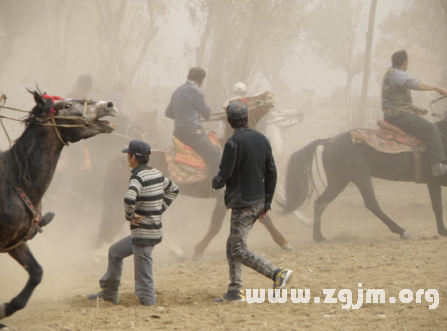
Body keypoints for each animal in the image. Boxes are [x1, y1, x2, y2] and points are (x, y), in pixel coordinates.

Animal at [0, 89, 117, 330]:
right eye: (66, 106)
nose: (109, 105)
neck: (14, 182)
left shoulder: (15, 242)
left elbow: (37, 273)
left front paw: (6, 308)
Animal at [280, 115, 447, 243]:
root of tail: (330, 140)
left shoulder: (433, 182)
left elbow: (437, 206)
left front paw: (443, 231)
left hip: (339, 180)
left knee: (321, 203)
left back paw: (319, 237)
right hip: (360, 176)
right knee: (371, 203)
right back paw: (401, 231)